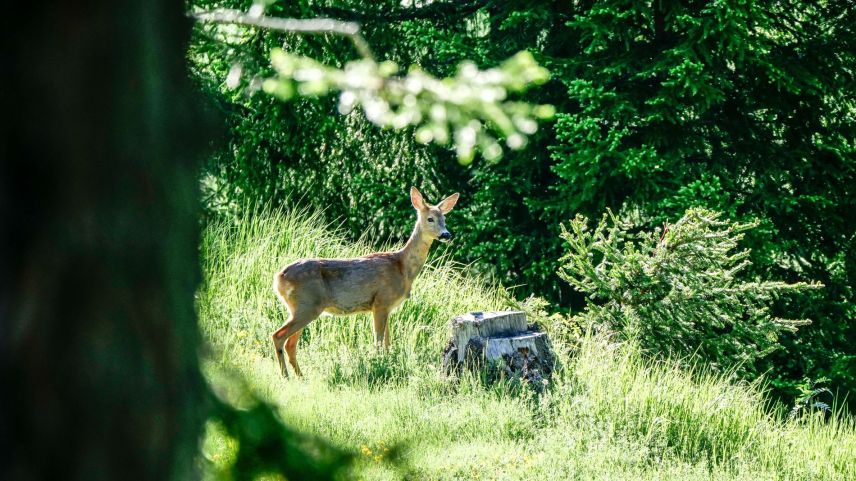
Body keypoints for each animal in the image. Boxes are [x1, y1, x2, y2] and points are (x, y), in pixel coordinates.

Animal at [271, 186, 460, 378]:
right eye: (430, 218)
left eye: (444, 219)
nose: (446, 234)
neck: (402, 267)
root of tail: (278, 278)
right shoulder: (381, 302)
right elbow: (378, 342)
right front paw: (379, 364)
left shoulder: (387, 307)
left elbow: (387, 342)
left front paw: (387, 363)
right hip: (307, 304)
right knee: (278, 336)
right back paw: (285, 376)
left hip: (302, 307)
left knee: (290, 343)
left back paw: (300, 376)